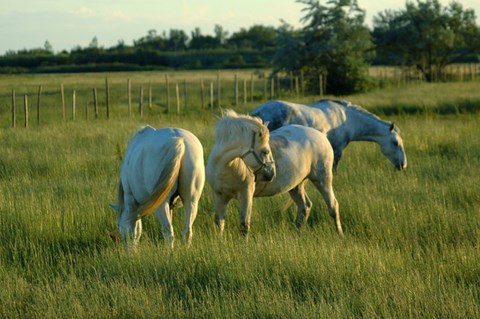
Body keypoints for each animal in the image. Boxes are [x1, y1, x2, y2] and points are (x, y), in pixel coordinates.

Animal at [206, 111, 342, 236]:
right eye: (266, 151)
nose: (272, 173)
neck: (225, 168)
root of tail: (322, 135)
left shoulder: (246, 196)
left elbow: (244, 226)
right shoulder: (219, 196)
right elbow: (219, 224)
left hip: (323, 180)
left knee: (333, 206)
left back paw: (340, 234)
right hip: (296, 186)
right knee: (305, 206)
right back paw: (297, 235)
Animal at [251, 99, 408, 171]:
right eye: (395, 143)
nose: (403, 165)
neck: (348, 119)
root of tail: (257, 112)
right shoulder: (337, 149)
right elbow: (334, 168)